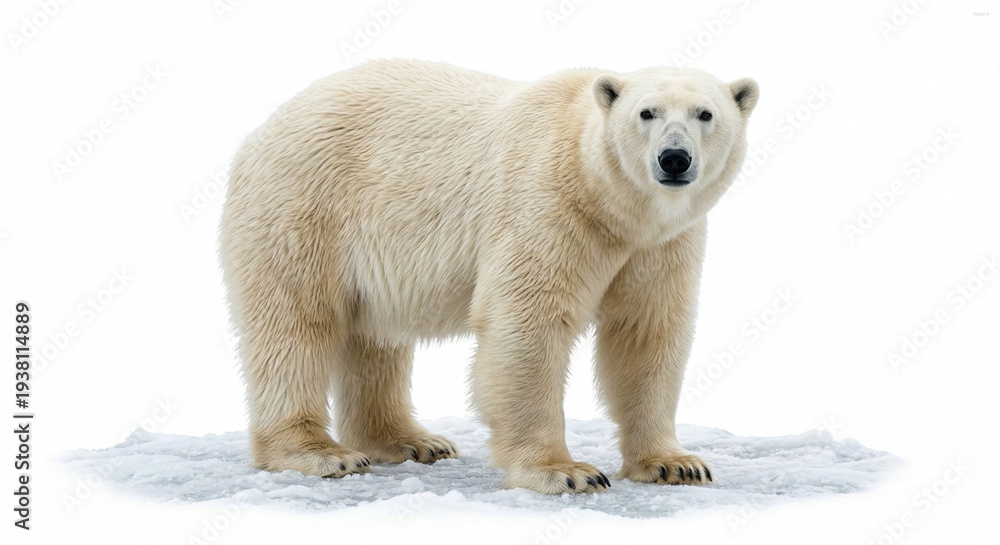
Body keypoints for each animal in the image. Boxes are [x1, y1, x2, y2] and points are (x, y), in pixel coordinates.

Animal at [220, 59, 758, 494]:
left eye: (705, 114)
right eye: (646, 113)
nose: (674, 159)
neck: (609, 202)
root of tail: (264, 126)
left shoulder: (660, 245)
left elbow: (646, 332)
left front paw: (676, 464)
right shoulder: (547, 204)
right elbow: (528, 323)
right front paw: (566, 471)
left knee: (375, 336)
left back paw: (412, 441)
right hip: (305, 206)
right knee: (295, 325)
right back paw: (320, 453)